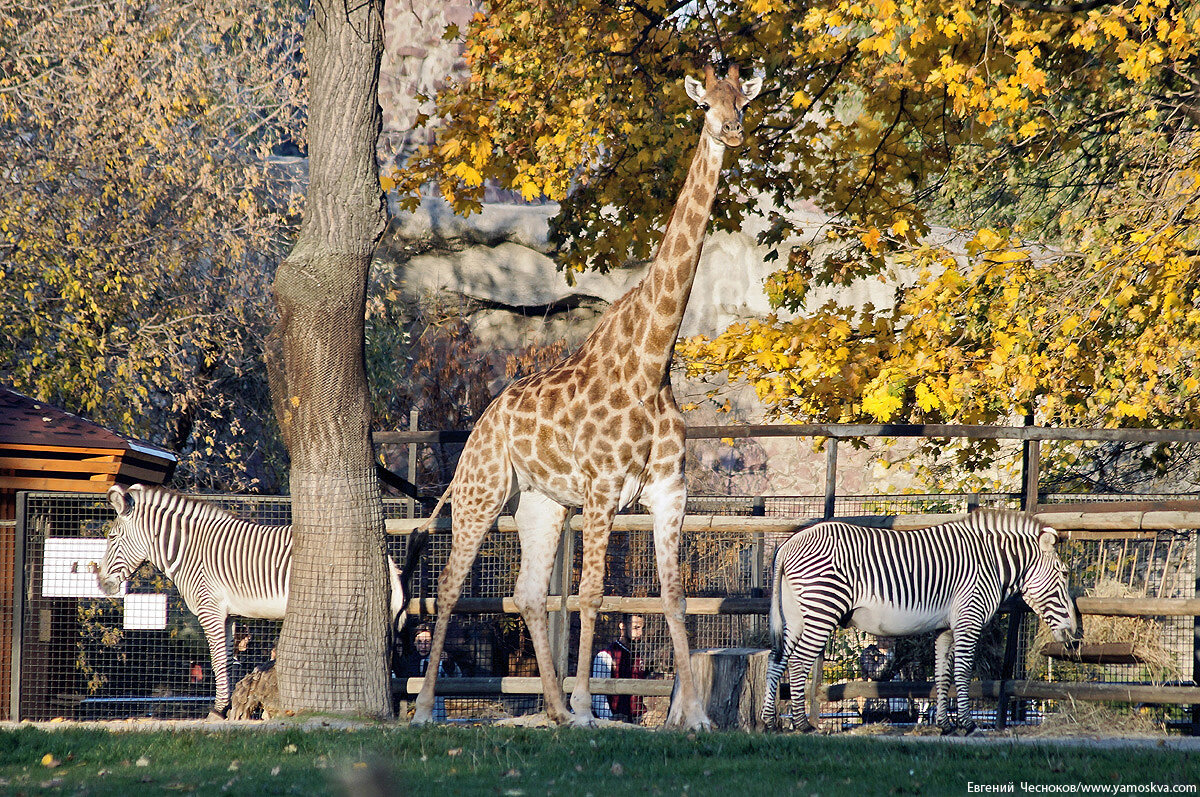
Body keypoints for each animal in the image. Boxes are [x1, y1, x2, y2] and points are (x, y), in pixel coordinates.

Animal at [96, 482, 412, 720]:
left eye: (112, 537)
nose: (101, 583)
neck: (190, 551)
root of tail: (386, 559)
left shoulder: (210, 609)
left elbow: (217, 662)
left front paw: (217, 710)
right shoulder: (227, 615)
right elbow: (228, 660)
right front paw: (226, 706)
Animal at [412, 63, 763, 729]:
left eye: (743, 101)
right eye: (706, 105)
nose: (732, 131)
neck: (651, 364)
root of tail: (484, 418)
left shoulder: (668, 491)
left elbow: (673, 595)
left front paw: (696, 718)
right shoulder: (602, 490)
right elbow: (593, 593)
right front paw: (585, 709)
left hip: (540, 503)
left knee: (525, 594)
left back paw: (549, 710)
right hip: (482, 487)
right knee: (447, 584)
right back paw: (425, 712)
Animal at [763, 511, 1084, 734]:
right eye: (1064, 573)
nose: (1074, 633)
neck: (991, 562)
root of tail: (788, 545)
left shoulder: (946, 628)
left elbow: (942, 675)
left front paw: (946, 725)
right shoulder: (969, 617)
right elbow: (963, 673)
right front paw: (968, 725)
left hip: (795, 614)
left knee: (777, 660)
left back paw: (769, 722)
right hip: (823, 606)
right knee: (798, 662)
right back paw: (802, 724)